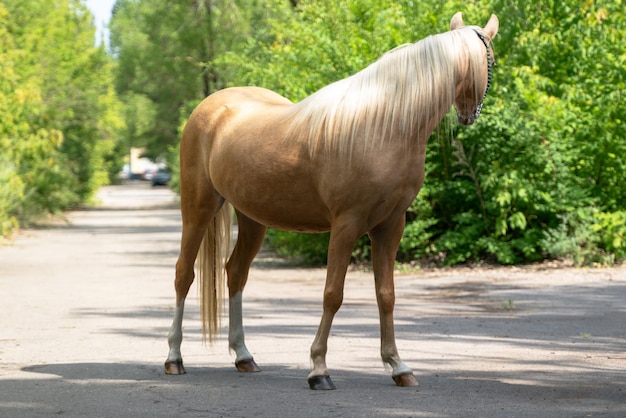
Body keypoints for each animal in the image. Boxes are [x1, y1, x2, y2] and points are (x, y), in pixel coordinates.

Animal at [165, 12, 498, 392]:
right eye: (490, 60)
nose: (470, 115)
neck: (382, 128)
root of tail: (209, 107)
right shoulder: (346, 225)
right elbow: (333, 294)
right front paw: (319, 369)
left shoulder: (390, 226)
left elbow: (386, 294)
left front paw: (399, 366)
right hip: (199, 209)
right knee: (184, 274)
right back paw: (174, 358)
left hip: (252, 218)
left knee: (235, 273)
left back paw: (244, 357)